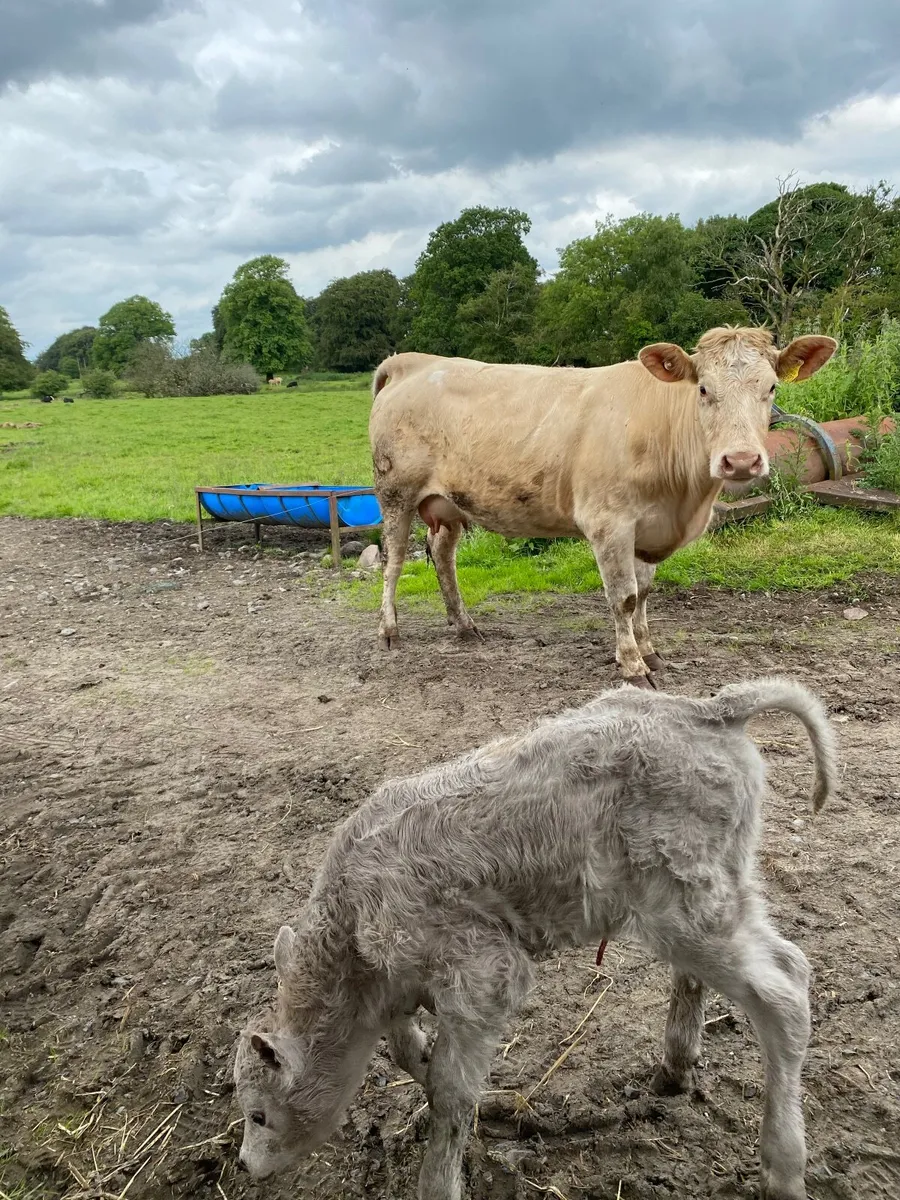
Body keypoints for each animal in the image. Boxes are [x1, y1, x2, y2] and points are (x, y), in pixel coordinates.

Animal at [234, 676, 836, 1200]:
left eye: (258, 1114)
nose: (243, 1165)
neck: (352, 933)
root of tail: (707, 710)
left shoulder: (483, 971)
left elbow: (449, 1092)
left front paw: (439, 1180)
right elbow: (411, 1055)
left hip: (685, 906)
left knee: (784, 991)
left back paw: (783, 1167)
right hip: (704, 895)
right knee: (740, 970)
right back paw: (676, 1065)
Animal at [368, 327, 836, 685]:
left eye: (771, 388)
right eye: (704, 389)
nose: (740, 460)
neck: (684, 501)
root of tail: (413, 361)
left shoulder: (648, 529)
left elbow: (644, 593)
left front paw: (650, 653)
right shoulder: (609, 524)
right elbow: (623, 598)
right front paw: (632, 666)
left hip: (448, 504)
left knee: (443, 555)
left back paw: (464, 625)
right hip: (395, 493)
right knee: (393, 561)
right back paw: (389, 631)